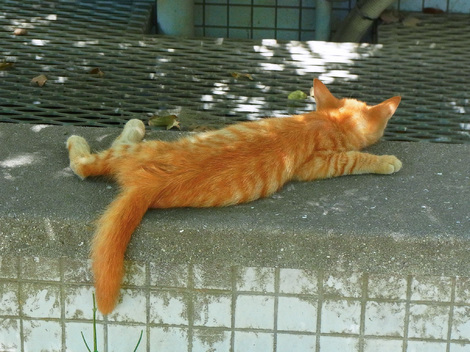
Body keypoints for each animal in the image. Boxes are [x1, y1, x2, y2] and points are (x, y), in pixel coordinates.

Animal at [67, 80, 400, 314]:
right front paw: (386, 161)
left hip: (129, 154)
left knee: (88, 164)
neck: (326, 121)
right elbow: (355, 158)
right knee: (82, 163)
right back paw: (122, 128)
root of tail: (145, 182)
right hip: (133, 149)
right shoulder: (319, 165)